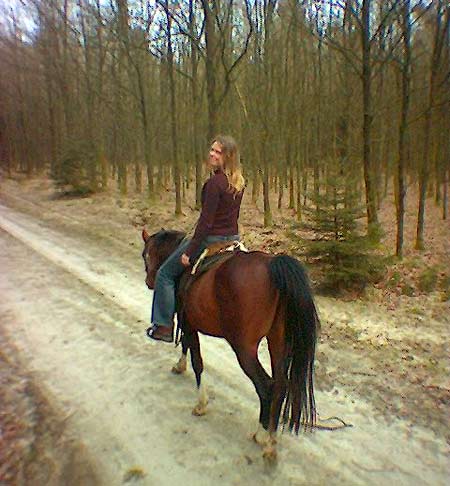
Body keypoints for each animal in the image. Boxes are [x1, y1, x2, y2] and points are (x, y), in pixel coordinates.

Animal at [142, 229, 320, 464]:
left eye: (145, 254)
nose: (149, 281)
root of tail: (272, 266)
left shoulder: (189, 323)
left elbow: (197, 361)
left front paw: (201, 404)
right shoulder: (188, 322)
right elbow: (187, 347)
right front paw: (179, 366)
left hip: (244, 347)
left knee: (266, 386)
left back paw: (261, 434)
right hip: (278, 341)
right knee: (281, 385)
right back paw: (271, 441)